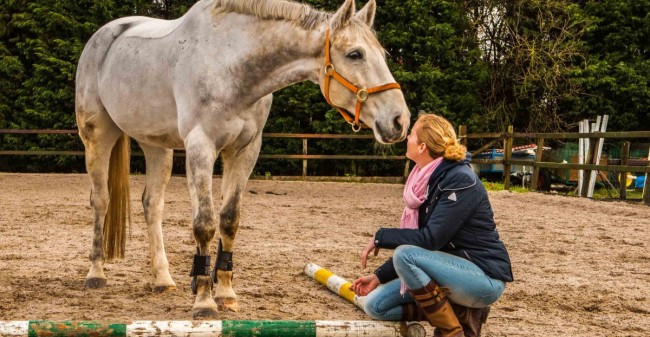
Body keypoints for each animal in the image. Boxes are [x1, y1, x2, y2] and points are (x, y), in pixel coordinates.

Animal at [76, 0, 408, 318]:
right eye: (355, 54)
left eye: (383, 53)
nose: (399, 120)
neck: (230, 62)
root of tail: (104, 37)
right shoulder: (201, 146)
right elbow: (204, 224)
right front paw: (204, 301)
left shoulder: (245, 151)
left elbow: (229, 220)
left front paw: (224, 293)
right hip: (98, 136)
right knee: (101, 200)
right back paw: (96, 273)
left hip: (155, 145)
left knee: (152, 205)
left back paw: (162, 279)